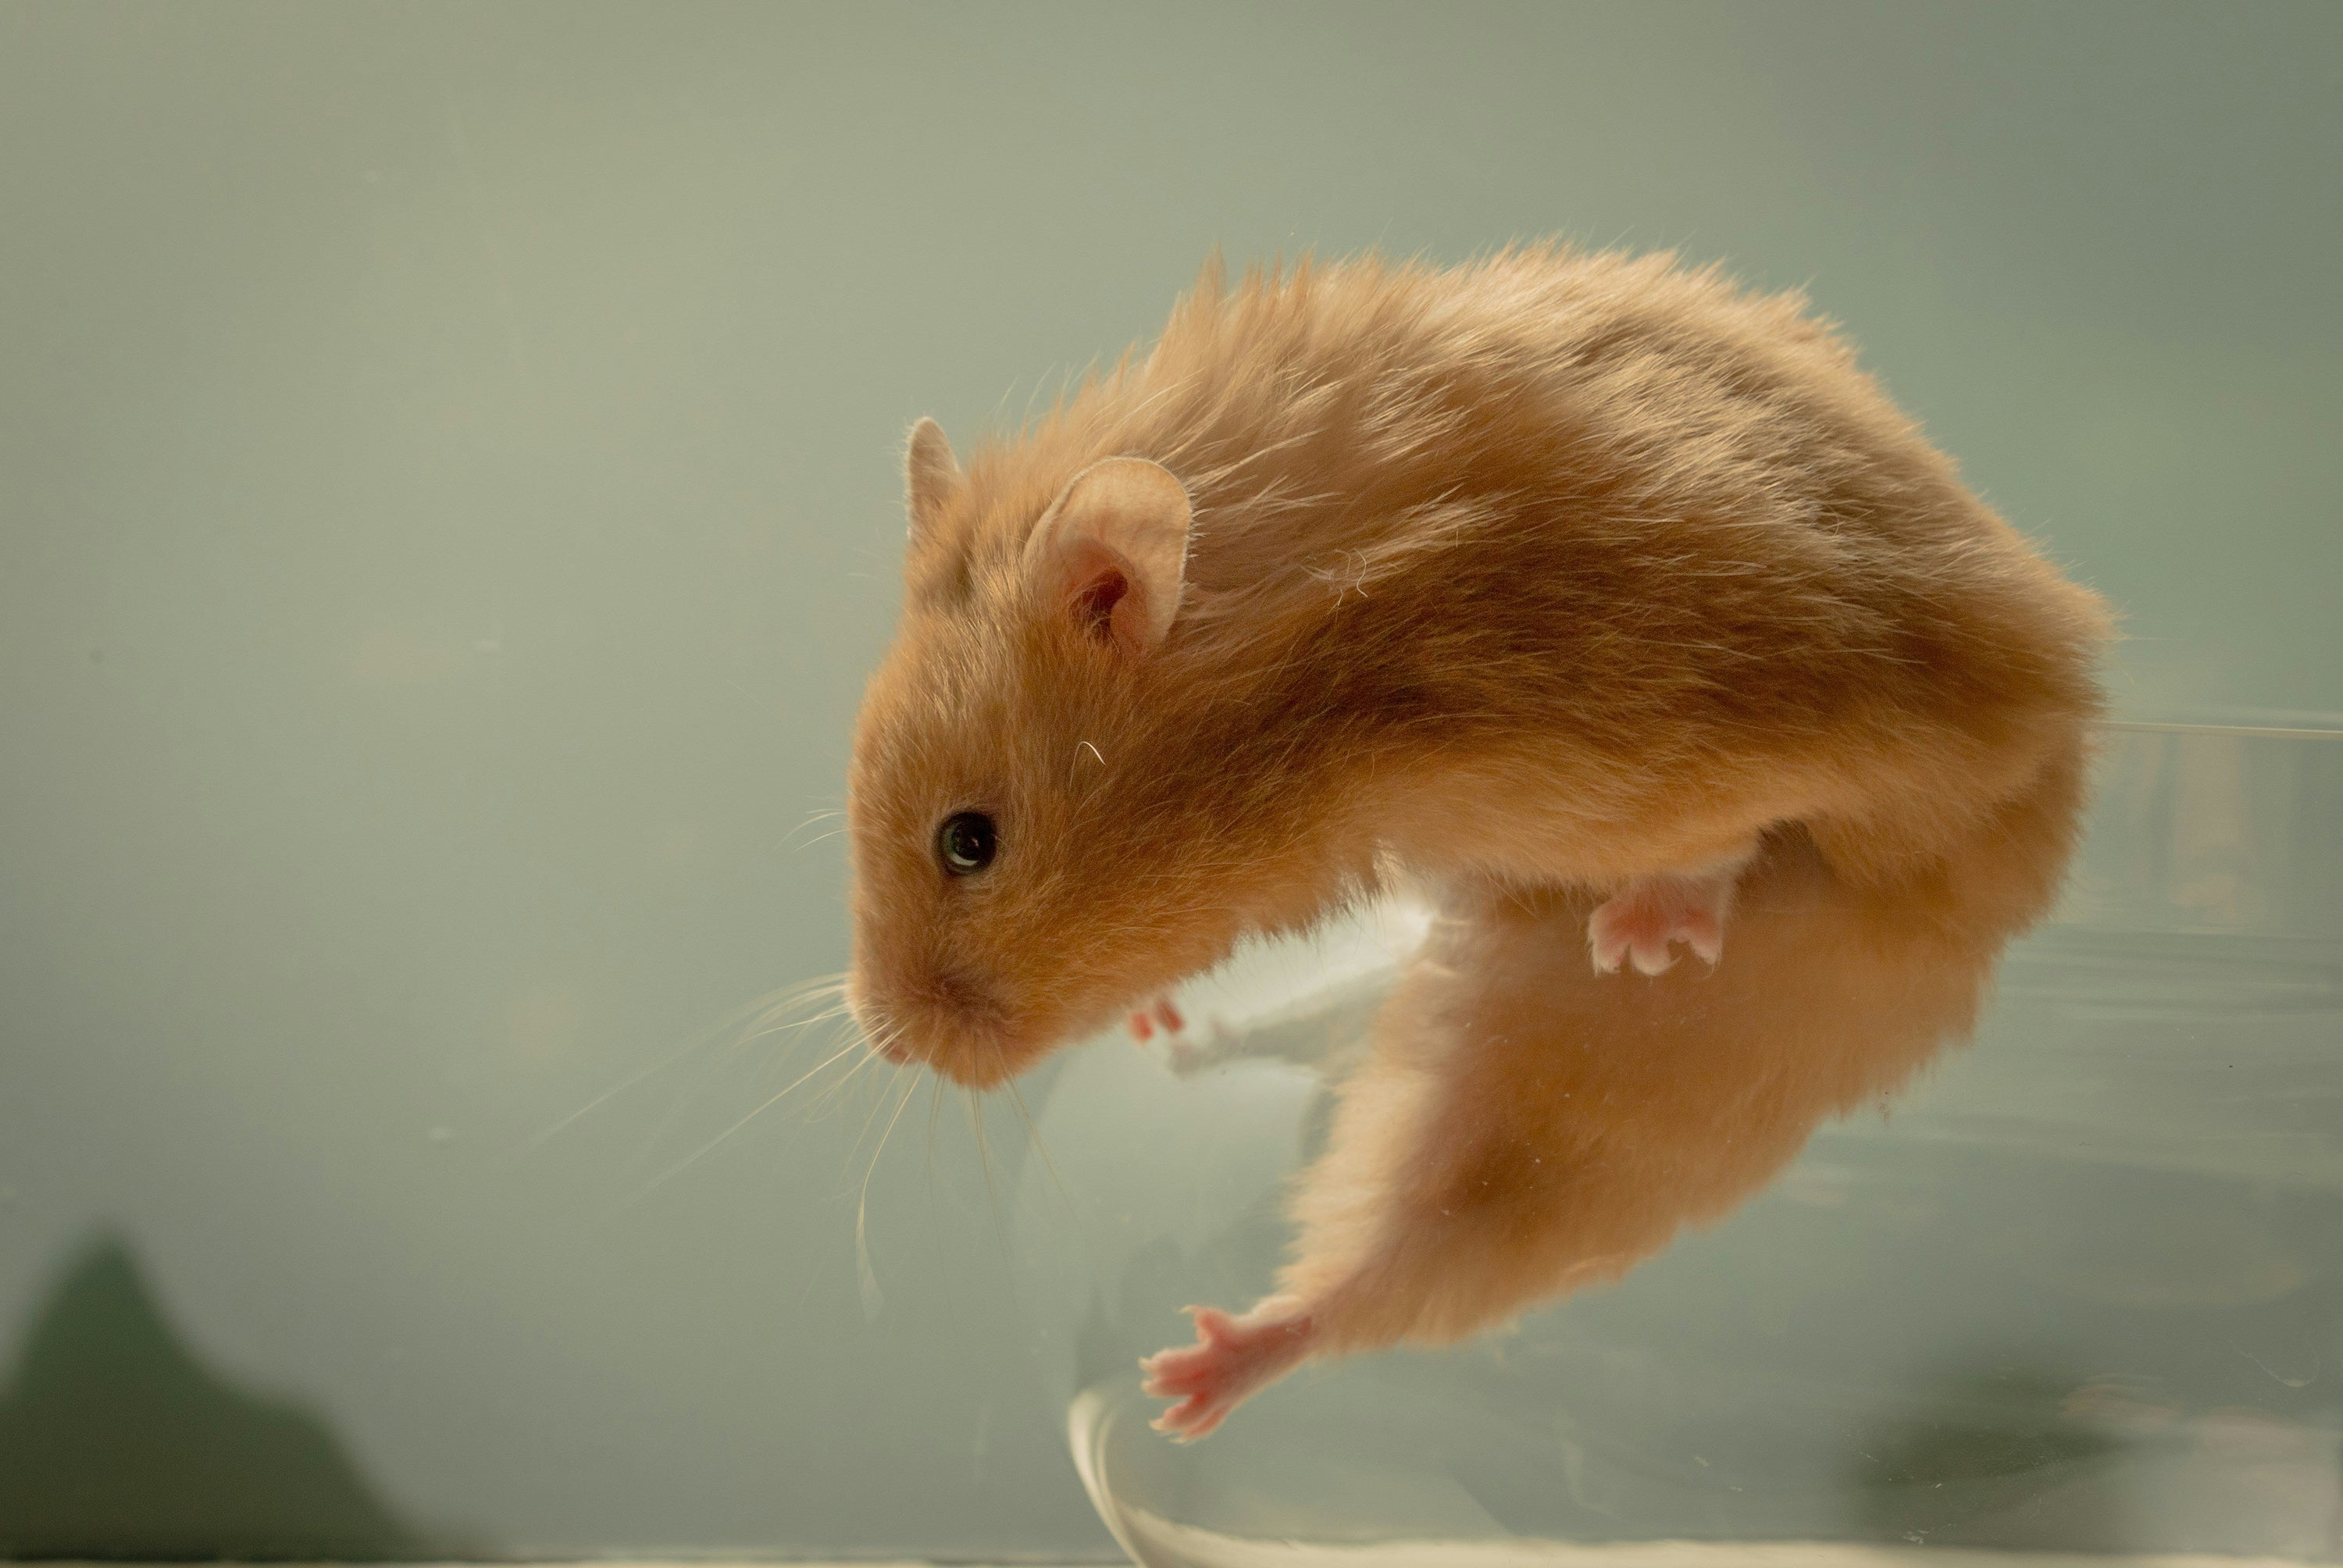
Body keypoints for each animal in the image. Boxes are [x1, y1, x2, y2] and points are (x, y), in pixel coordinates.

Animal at [842, 245, 2110, 1435]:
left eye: (969, 842)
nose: (889, 1042)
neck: (1326, 703)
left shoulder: (1704, 738)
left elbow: (1732, 833)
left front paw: (1646, 936)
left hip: (1635, 1067)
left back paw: (1194, 1376)